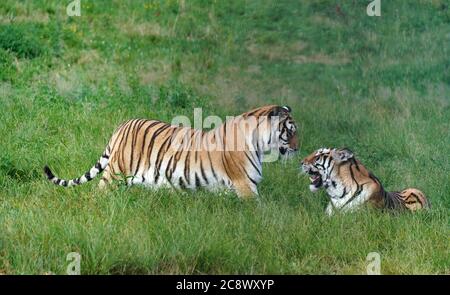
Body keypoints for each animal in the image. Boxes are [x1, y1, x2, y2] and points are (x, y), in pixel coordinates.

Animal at [44, 105, 298, 200]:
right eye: (290, 131)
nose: (298, 149)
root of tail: (123, 125)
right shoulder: (246, 187)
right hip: (116, 172)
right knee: (99, 191)